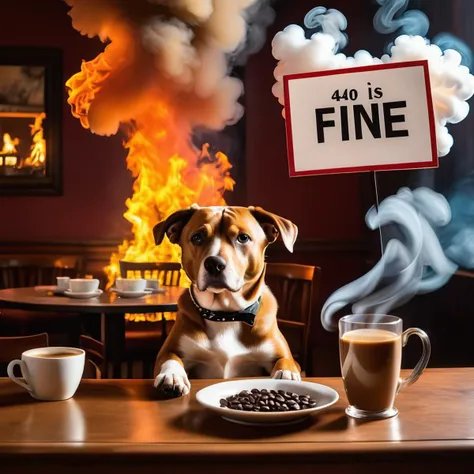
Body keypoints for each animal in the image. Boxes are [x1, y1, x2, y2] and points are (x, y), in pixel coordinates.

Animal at [152, 204, 300, 396]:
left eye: (243, 238)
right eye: (197, 237)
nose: (214, 263)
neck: (226, 313)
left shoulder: (280, 353)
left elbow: (287, 361)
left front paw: (287, 375)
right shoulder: (170, 349)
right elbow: (169, 358)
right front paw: (172, 376)